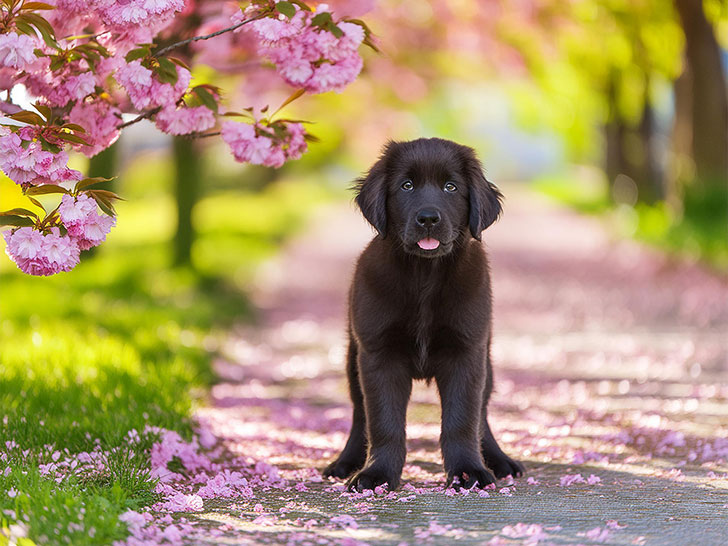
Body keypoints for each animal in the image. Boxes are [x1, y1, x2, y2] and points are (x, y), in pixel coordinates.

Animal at [324, 136, 524, 488]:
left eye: (450, 187)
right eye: (406, 186)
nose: (428, 218)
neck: (424, 277)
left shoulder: (466, 353)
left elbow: (463, 420)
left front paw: (469, 471)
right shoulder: (378, 355)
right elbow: (383, 423)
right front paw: (376, 474)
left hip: (486, 362)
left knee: (482, 415)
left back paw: (498, 460)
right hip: (353, 359)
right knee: (360, 415)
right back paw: (346, 462)